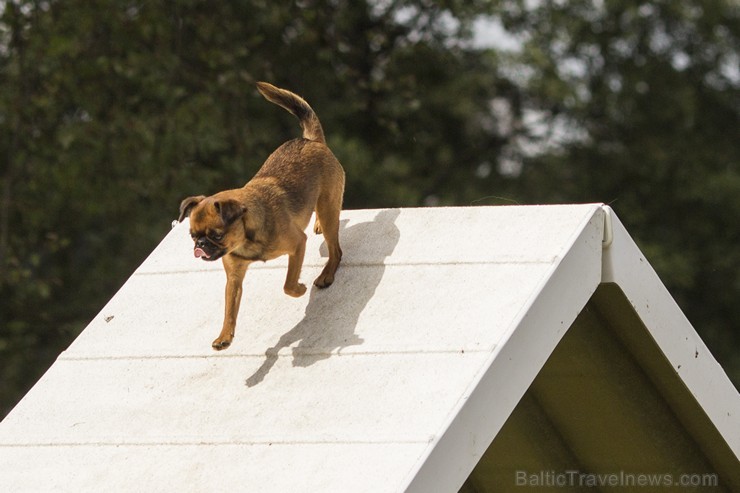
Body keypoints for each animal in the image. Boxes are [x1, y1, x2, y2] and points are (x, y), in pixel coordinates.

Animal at [178, 81, 346, 350]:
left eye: (217, 235)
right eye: (193, 236)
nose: (200, 245)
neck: (247, 237)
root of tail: (310, 141)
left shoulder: (297, 245)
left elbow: (288, 285)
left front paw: (299, 289)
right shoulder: (234, 279)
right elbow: (229, 310)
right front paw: (224, 336)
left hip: (329, 206)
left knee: (336, 250)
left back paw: (327, 274)